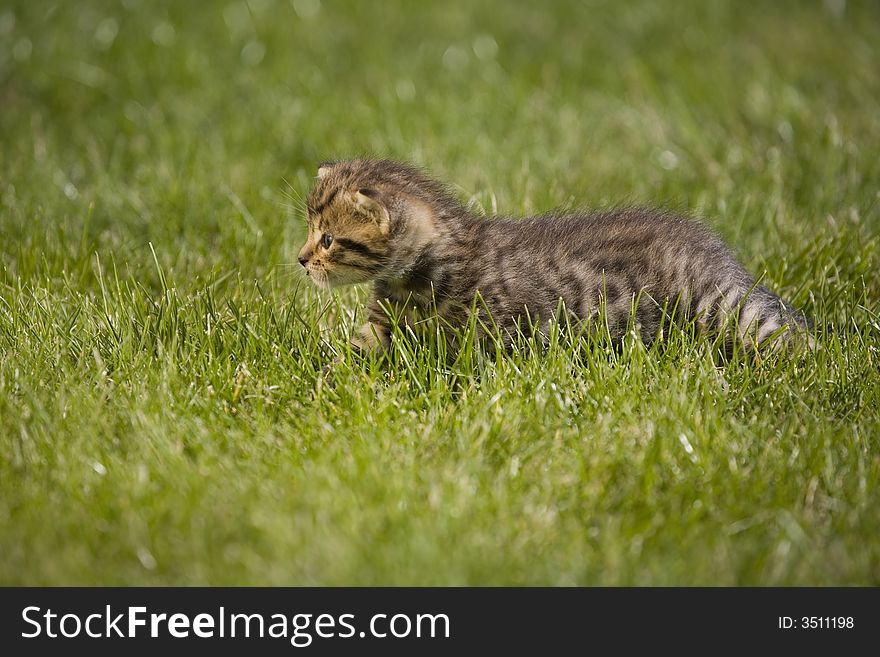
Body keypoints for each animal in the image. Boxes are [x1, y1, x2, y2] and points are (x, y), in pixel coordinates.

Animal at [298, 158, 812, 354]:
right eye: (311, 231)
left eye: (328, 239)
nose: (301, 259)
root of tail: (711, 246)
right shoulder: (379, 328)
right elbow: (344, 355)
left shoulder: (502, 331)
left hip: (717, 306)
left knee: (784, 330)